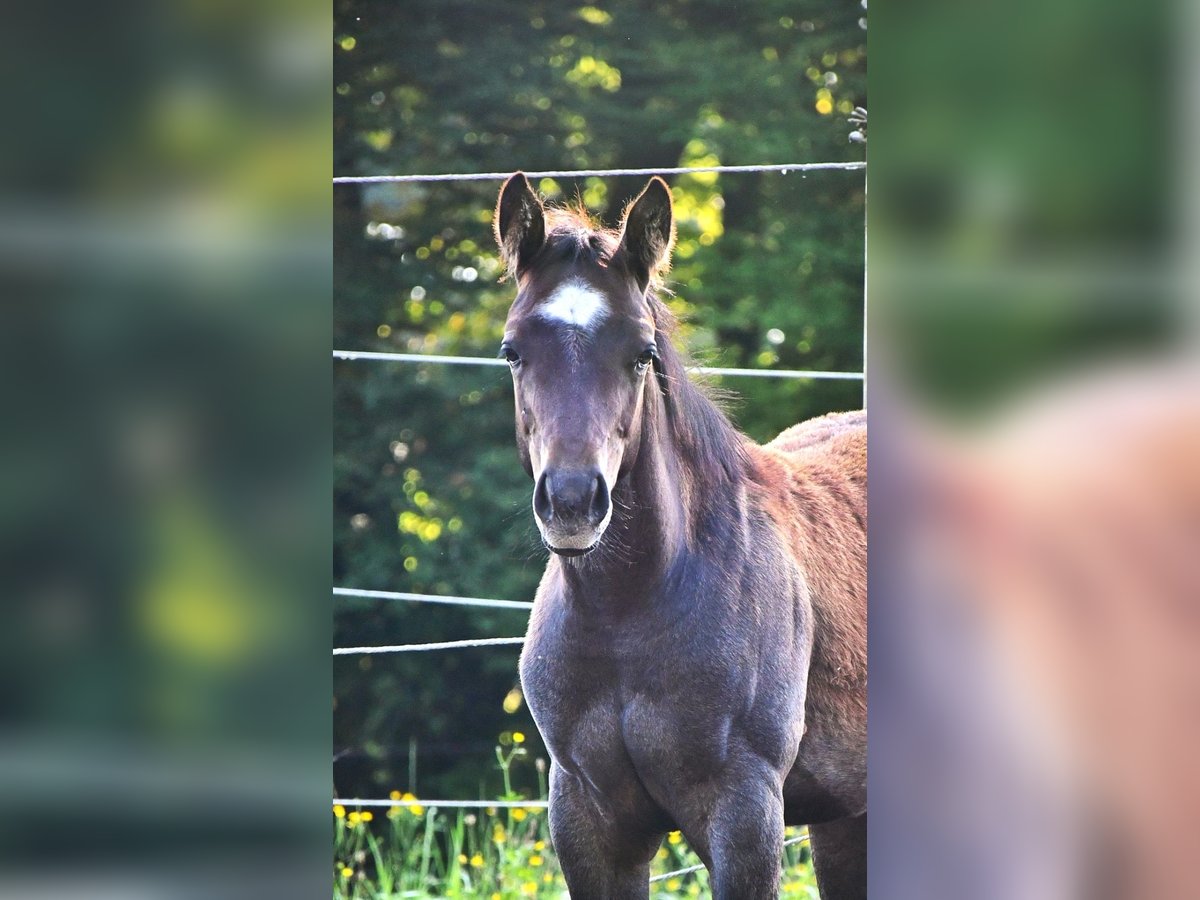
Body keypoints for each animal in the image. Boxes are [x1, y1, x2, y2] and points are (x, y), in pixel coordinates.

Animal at [492, 172, 867, 899]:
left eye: (642, 354)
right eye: (513, 350)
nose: (573, 502)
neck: (628, 610)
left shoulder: (744, 816)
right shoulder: (587, 819)